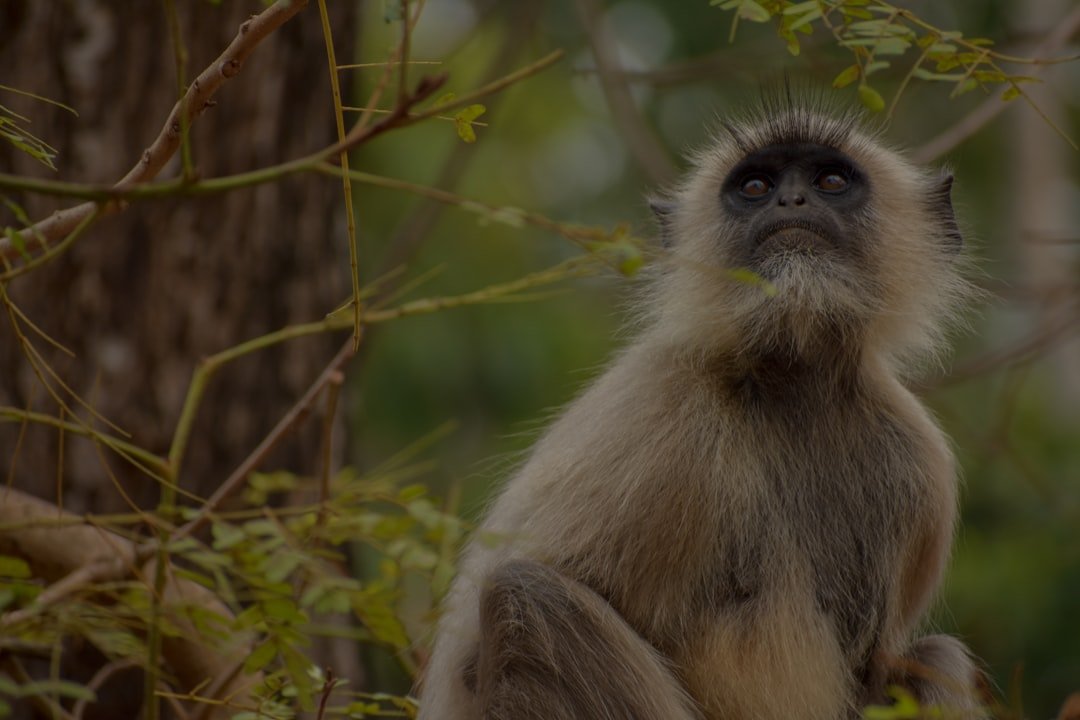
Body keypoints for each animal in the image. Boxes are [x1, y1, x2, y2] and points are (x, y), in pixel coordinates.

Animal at [416, 94, 985, 720]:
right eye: (756, 187)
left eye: (831, 181)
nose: (791, 201)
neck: (790, 385)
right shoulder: (659, 405)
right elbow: (472, 658)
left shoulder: (916, 459)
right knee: (526, 595)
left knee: (935, 656)